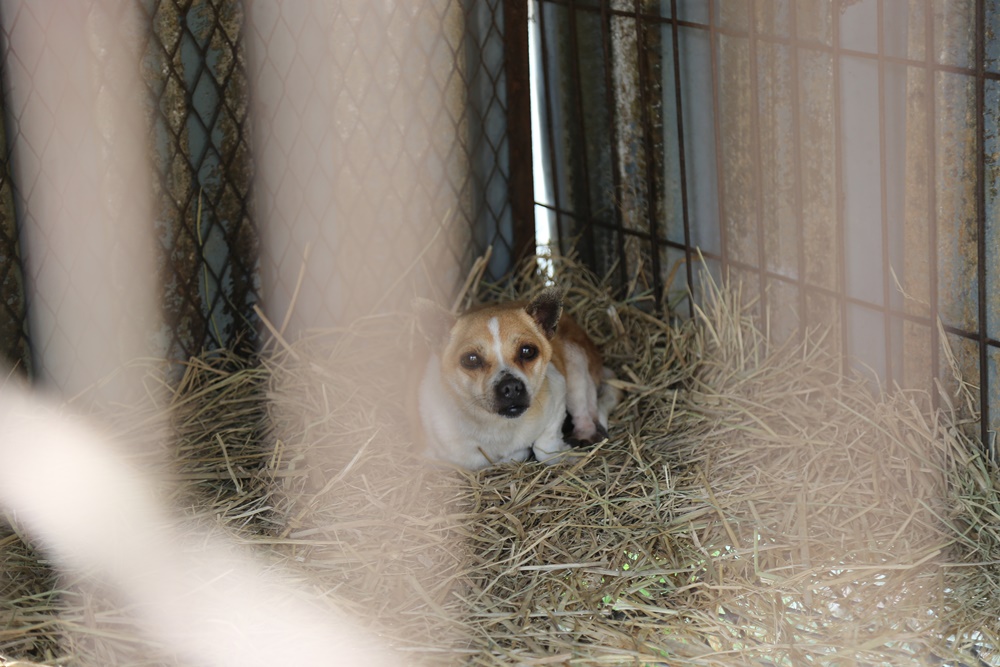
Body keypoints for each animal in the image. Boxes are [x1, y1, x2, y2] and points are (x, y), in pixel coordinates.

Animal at [414, 290, 616, 472]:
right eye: (470, 359)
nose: (510, 386)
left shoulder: (558, 393)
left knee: (585, 412)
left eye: (527, 351)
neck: (498, 426)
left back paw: (584, 434)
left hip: (575, 365)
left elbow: (543, 446)